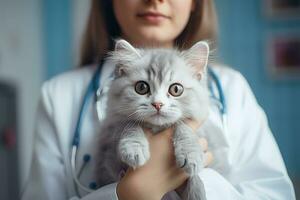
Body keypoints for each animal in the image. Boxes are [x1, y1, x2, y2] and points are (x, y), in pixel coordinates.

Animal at [96, 39, 211, 200]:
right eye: (141, 87)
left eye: (176, 89)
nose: (158, 104)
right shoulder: (110, 139)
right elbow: (130, 125)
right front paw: (134, 149)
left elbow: (183, 127)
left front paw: (191, 156)